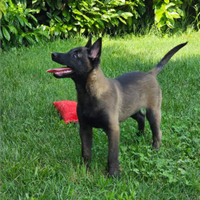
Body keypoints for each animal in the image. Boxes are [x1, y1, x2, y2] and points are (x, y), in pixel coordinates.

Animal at [46, 36, 186, 177]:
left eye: (75, 55)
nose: (53, 54)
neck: (89, 93)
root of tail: (150, 73)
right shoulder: (85, 128)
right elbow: (86, 151)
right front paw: (85, 169)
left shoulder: (113, 129)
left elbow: (112, 156)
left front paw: (113, 174)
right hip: (130, 109)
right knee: (141, 117)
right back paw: (139, 136)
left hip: (153, 112)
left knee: (157, 132)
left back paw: (154, 149)